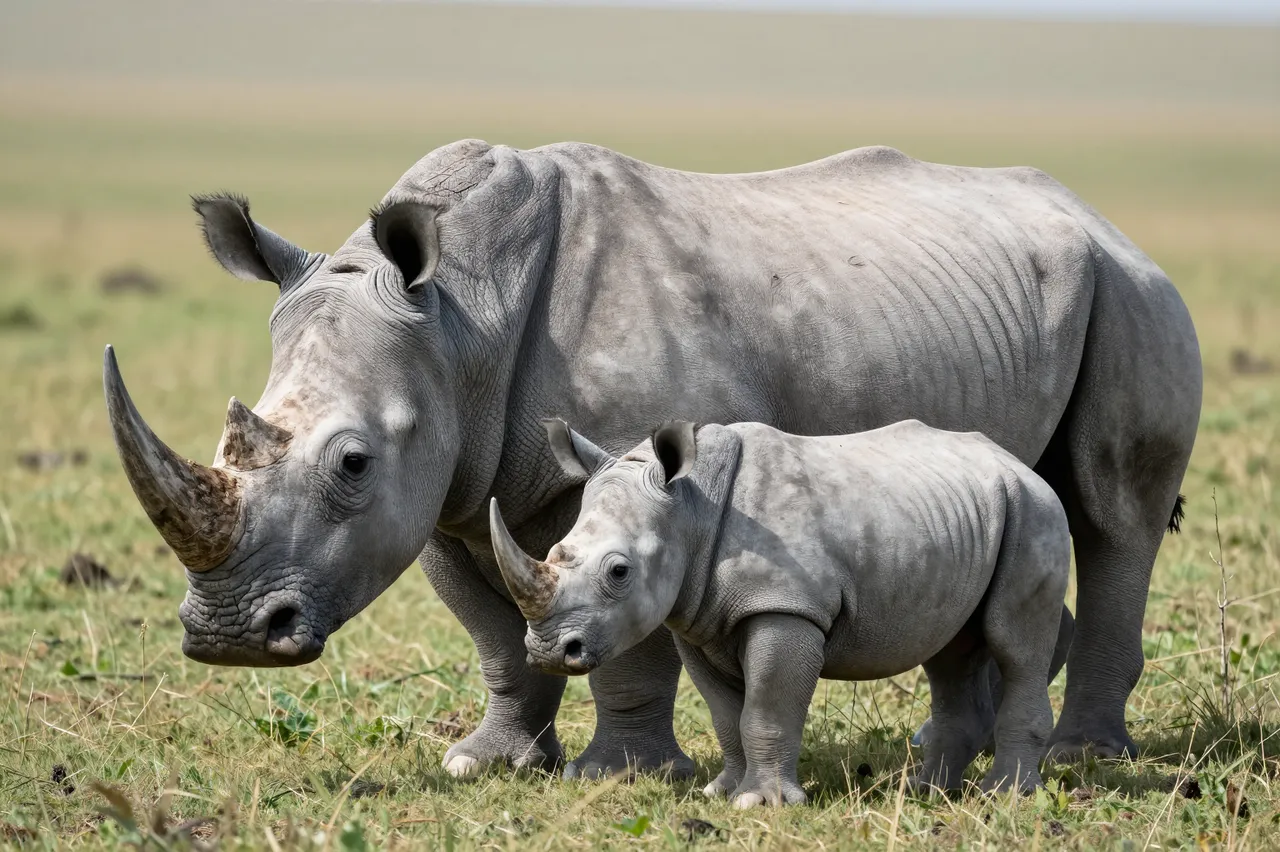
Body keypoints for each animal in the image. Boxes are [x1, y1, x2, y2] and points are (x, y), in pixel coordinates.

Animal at [490, 418, 1072, 803]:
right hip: (967, 516)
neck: (690, 507)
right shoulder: (697, 620)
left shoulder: (786, 607)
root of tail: (1018, 464)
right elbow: (727, 715)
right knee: (951, 652)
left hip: (1034, 510)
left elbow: (766, 708)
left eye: (619, 572)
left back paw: (1006, 796)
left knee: (1015, 648)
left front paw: (763, 804)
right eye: (555, 551)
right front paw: (721, 792)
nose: (548, 651)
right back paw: (927, 791)